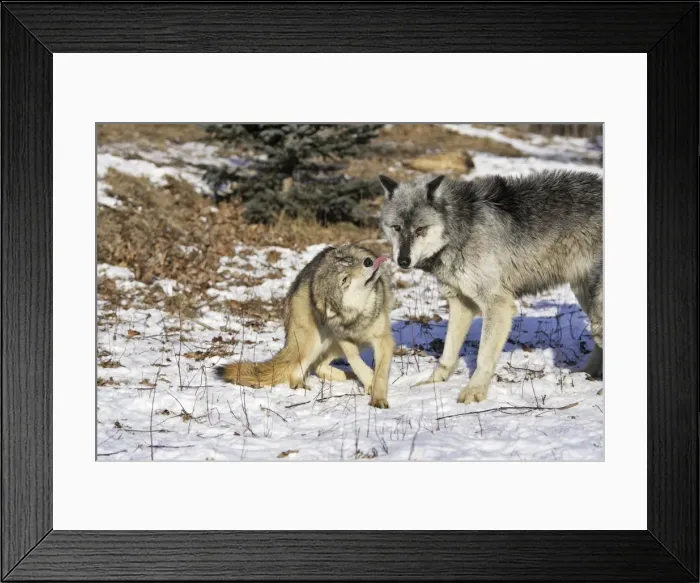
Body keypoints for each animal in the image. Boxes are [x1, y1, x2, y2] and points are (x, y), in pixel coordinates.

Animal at [216, 244, 395, 408]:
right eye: (345, 280)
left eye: (349, 262)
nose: (368, 261)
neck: (358, 316)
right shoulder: (343, 339)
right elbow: (354, 359)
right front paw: (372, 386)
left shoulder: (382, 340)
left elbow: (378, 373)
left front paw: (376, 394)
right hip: (314, 342)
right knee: (301, 368)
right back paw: (300, 385)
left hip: (331, 345)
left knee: (318, 365)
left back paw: (349, 376)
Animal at [379, 170, 602, 404]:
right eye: (397, 228)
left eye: (420, 229)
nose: (403, 261)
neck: (462, 227)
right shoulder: (461, 304)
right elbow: (448, 353)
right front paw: (434, 382)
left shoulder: (497, 304)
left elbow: (483, 357)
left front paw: (474, 391)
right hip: (586, 296)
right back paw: (587, 373)